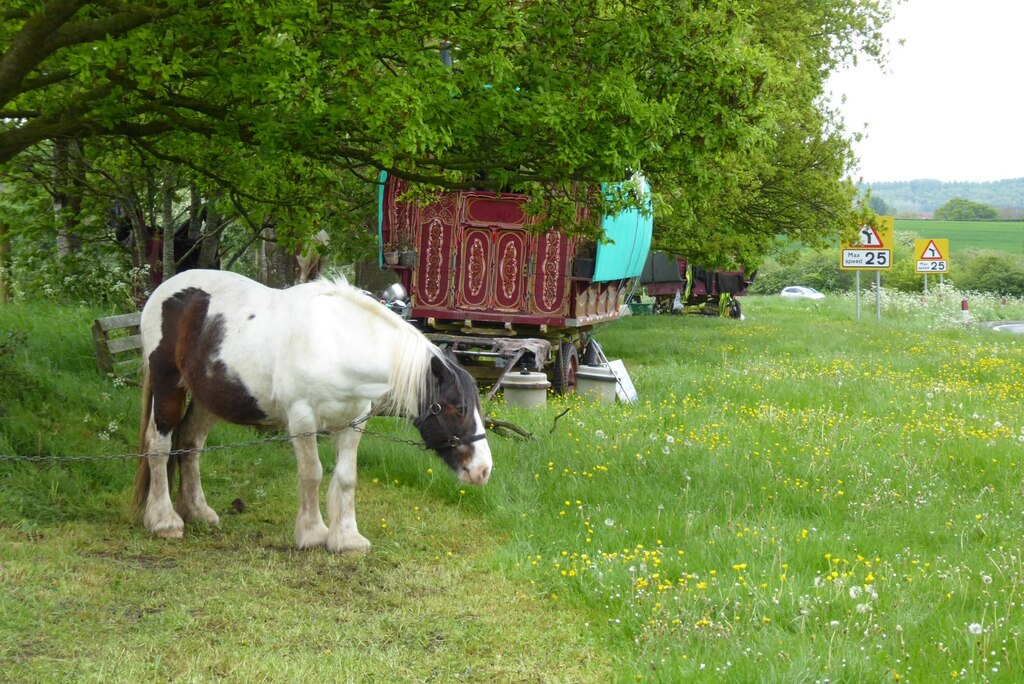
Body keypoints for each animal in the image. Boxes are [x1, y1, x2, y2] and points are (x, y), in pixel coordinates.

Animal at [134, 266, 493, 548]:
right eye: (458, 407)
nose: (484, 470)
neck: (337, 346)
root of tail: (163, 292)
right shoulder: (302, 420)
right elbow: (312, 473)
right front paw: (313, 533)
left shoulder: (353, 422)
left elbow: (346, 477)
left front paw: (347, 539)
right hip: (167, 385)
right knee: (160, 446)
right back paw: (165, 520)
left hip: (207, 398)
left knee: (190, 444)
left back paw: (198, 512)